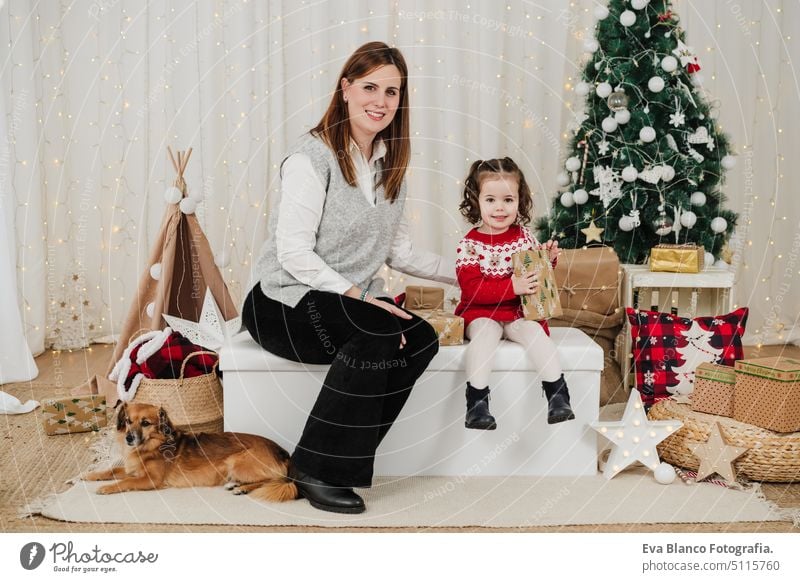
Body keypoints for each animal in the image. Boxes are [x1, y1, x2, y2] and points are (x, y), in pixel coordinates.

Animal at [83, 404, 298, 504]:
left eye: (145, 423)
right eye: (128, 421)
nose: (129, 438)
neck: (152, 446)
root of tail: (283, 452)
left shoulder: (150, 479)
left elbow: (125, 481)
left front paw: (106, 488)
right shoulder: (133, 469)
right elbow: (111, 470)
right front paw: (90, 475)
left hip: (237, 462)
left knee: (273, 480)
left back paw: (242, 488)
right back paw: (236, 485)